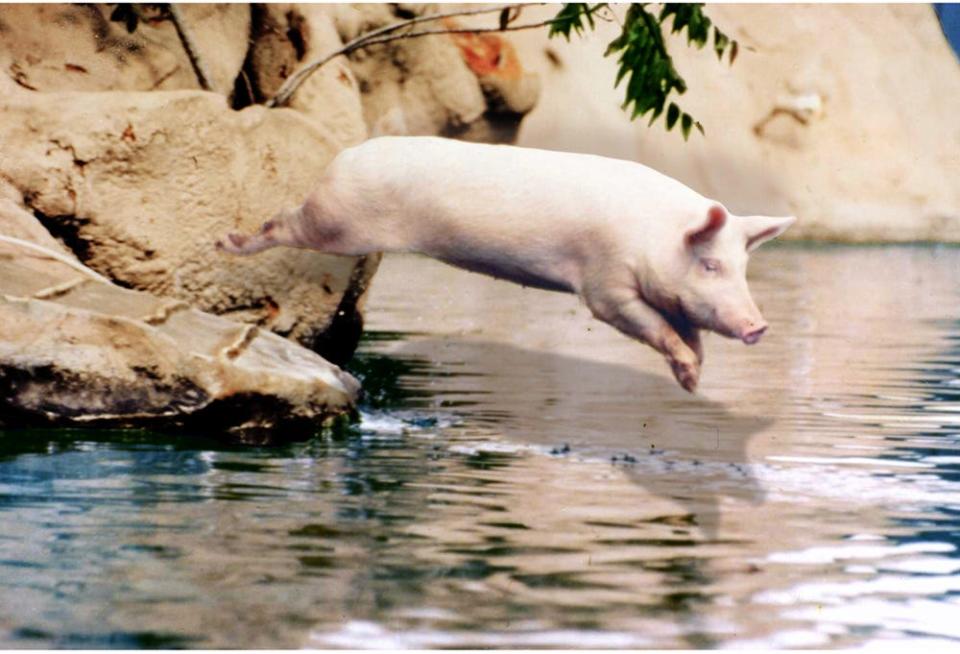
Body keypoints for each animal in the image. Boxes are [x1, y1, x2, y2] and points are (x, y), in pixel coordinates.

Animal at [219, 136, 796, 392]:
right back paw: (227, 241)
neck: (652, 235)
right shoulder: (603, 283)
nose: (759, 325)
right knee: (281, 223)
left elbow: (686, 333)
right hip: (334, 221)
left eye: (741, 268)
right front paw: (690, 371)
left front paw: (693, 379)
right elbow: (642, 322)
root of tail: (346, 155)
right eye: (710, 266)